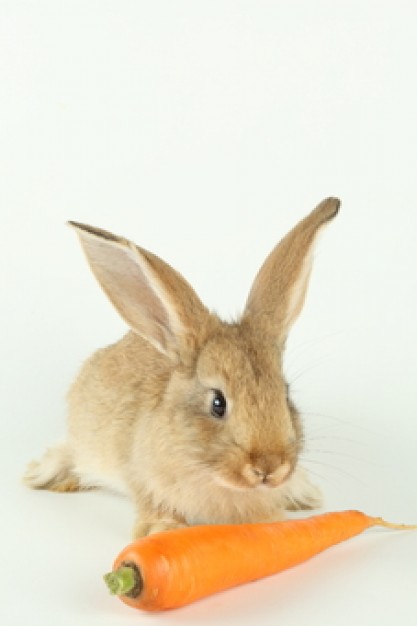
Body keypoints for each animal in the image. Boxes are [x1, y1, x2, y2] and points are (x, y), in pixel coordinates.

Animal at [23, 196, 338, 536]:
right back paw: (44, 476)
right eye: (217, 403)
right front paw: (162, 531)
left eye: (285, 394)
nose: (269, 468)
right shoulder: (144, 481)